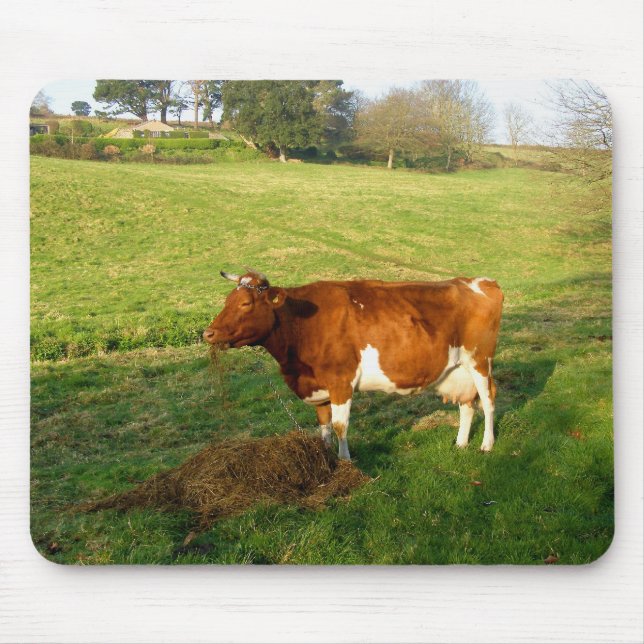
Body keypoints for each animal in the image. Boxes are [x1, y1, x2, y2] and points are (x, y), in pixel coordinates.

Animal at [203, 270, 504, 460]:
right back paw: (461, 443)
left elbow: (340, 426)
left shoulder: (341, 381)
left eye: (245, 303)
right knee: (467, 404)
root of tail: (482, 282)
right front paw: (326, 460)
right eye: (227, 301)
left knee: (488, 399)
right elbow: (323, 426)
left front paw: (345, 461)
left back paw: (487, 444)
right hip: (458, 369)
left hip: (480, 360)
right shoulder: (319, 387)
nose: (208, 333)